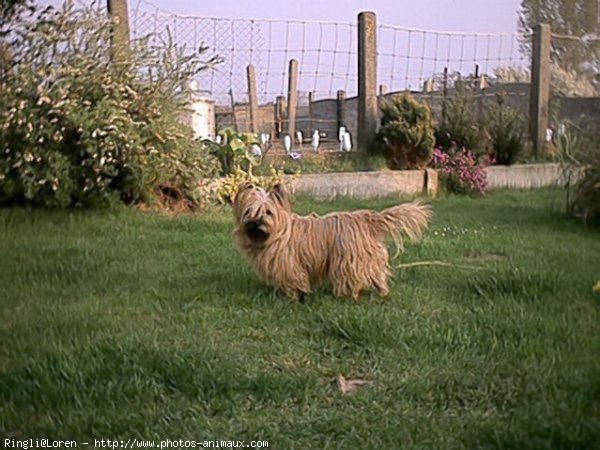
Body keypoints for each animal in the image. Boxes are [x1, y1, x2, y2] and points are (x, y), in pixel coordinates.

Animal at [231, 183, 432, 302]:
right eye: (248, 211)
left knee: (353, 278)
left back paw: (348, 295)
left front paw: (292, 297)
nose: (255, 222)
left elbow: (294, 281)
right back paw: (382, 293)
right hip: (370, 257)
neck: (277, 233)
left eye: (268, 212)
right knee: (378, 276)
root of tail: (365, 219)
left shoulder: (290, 265)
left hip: (348, 260)